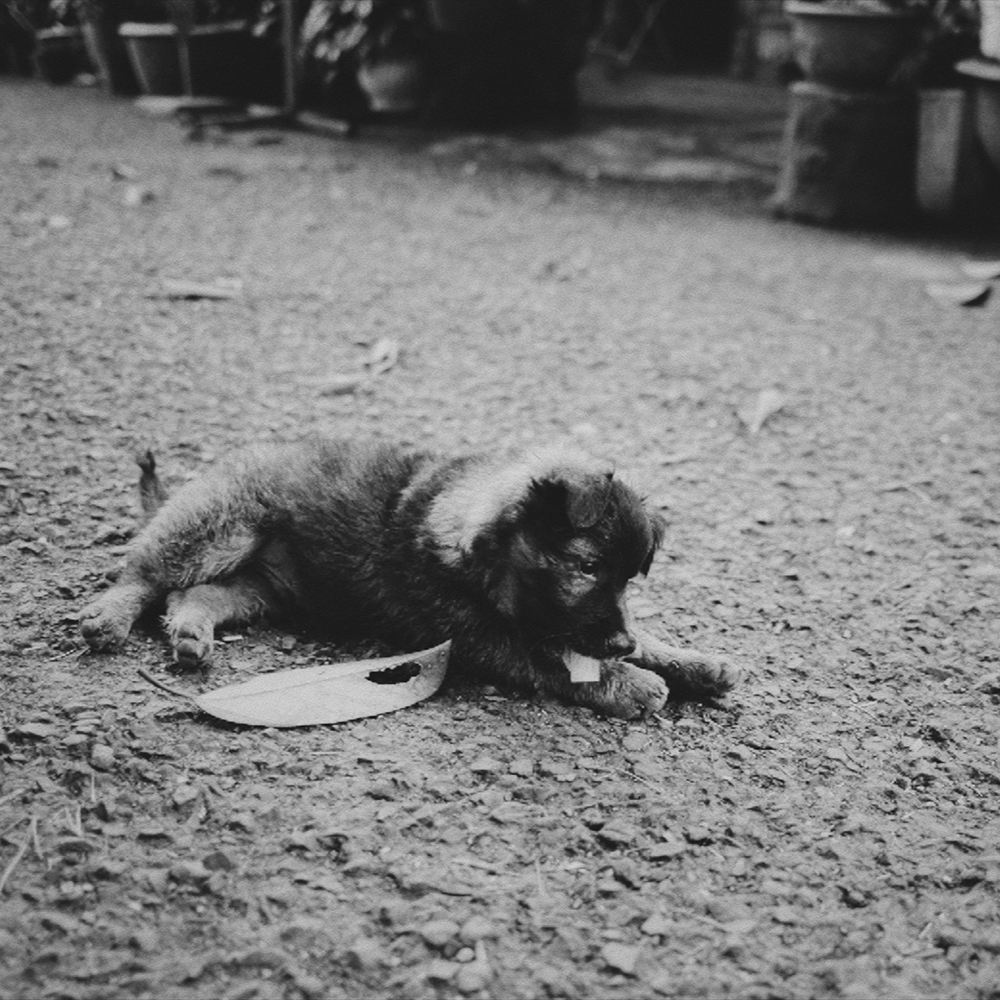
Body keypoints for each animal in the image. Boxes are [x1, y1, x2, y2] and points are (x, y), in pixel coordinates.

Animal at [82, 444, 740, 720]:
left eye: (629, 578)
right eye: (585, 567)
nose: (621, 647)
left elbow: (619, 641)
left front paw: (691, 661)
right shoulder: (480, 637)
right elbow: (549, 658)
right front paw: (630, 683)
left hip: (263, 588)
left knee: (192, 595)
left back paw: (191, 634)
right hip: (221, 526)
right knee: (145, 572)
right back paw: (107, 619)